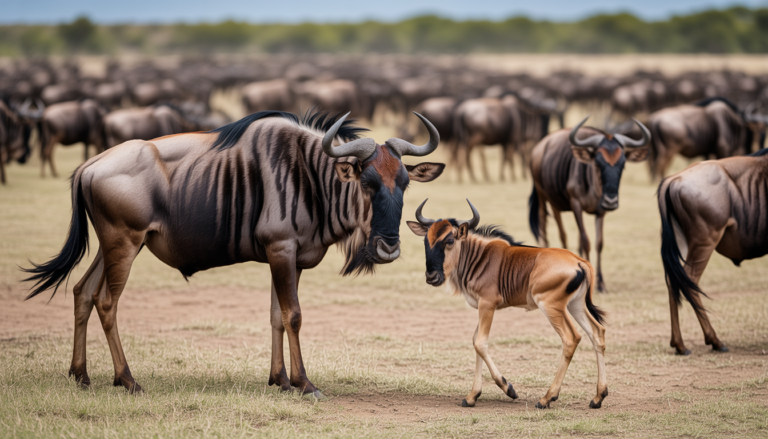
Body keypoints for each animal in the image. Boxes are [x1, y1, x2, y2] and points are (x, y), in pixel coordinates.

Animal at [408, 200, 608, 409]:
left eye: (449, 241)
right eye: (426, 241)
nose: (431, 276)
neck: (477, 257)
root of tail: (580, 262)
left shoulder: (488, 304)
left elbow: (480, 343)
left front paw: (508, 388)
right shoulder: (482, 307)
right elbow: (475, 341)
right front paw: (472, 396)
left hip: (552, 307)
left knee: (571, 338)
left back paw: (547, 398)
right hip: (575, 305)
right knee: (597, 332)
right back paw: (598, 397)